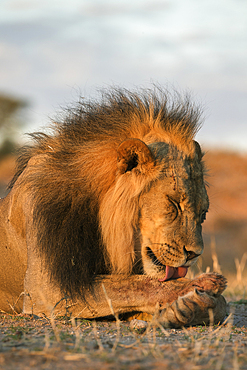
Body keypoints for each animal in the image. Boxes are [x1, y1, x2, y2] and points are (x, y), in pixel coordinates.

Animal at [0, 86, 228, 326]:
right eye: (174, 204)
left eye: (203, 214)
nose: (195, 254)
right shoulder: (47, 289)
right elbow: (133, 284)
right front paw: (199, 286)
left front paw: (186, 308)